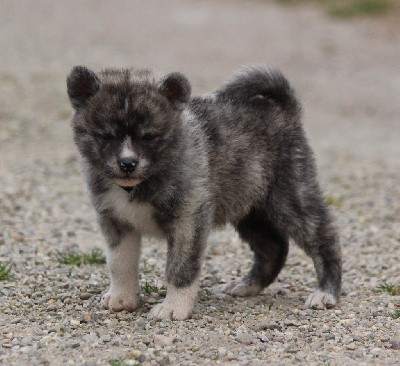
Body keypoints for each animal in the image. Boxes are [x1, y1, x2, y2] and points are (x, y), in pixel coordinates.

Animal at [65, 66, 340, 320]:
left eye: (150, 136)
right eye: (105, 136)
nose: (127, 163)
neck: (140, 183)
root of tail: (284, 112)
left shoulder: (188, 219)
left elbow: (180, 268)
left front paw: (174, 307)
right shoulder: (116, 222)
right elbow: (119, 263)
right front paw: (122, 297)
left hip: (291, 200)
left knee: (323, 239)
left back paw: (326, 292)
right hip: (250, 210)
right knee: (274, 247)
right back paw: (248, 286)